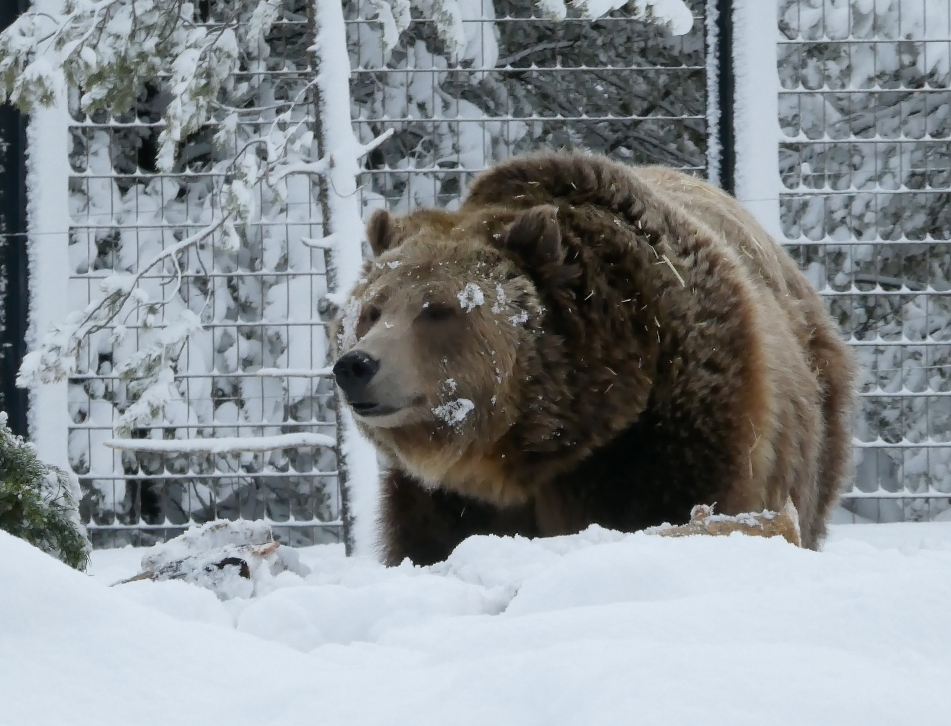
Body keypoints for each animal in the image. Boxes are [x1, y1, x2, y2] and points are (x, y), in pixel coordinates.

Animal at [332, 151, 856, 564]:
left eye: (439, 309)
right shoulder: (443, 498)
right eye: (372, 309)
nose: (355, 366)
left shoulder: (680, 432)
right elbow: (428, 544)